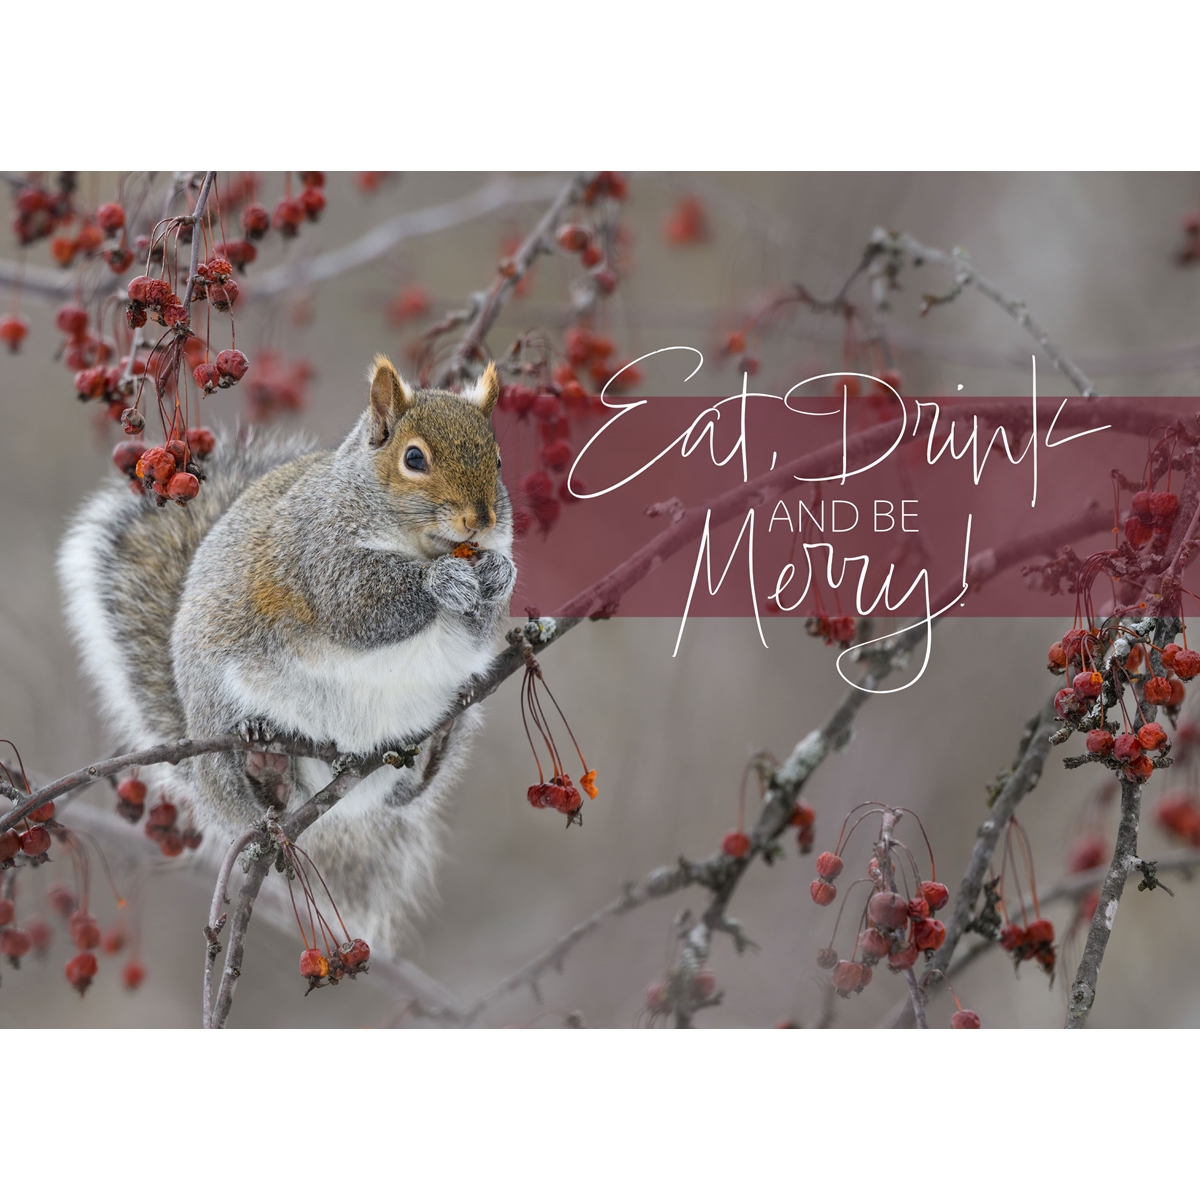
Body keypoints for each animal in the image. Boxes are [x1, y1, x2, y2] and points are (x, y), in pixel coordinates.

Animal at [62, 350, 516, 950]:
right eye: (414, 458)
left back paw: (436, 743)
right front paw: (441, 582)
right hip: (220, 728)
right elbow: (361, 608)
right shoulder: (317, 557)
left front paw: (499, 574)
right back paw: (266, 766)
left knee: (408, 791)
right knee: (256, 801)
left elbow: (478, 627)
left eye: (499, 459)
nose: (479, 521)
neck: (420, 545)